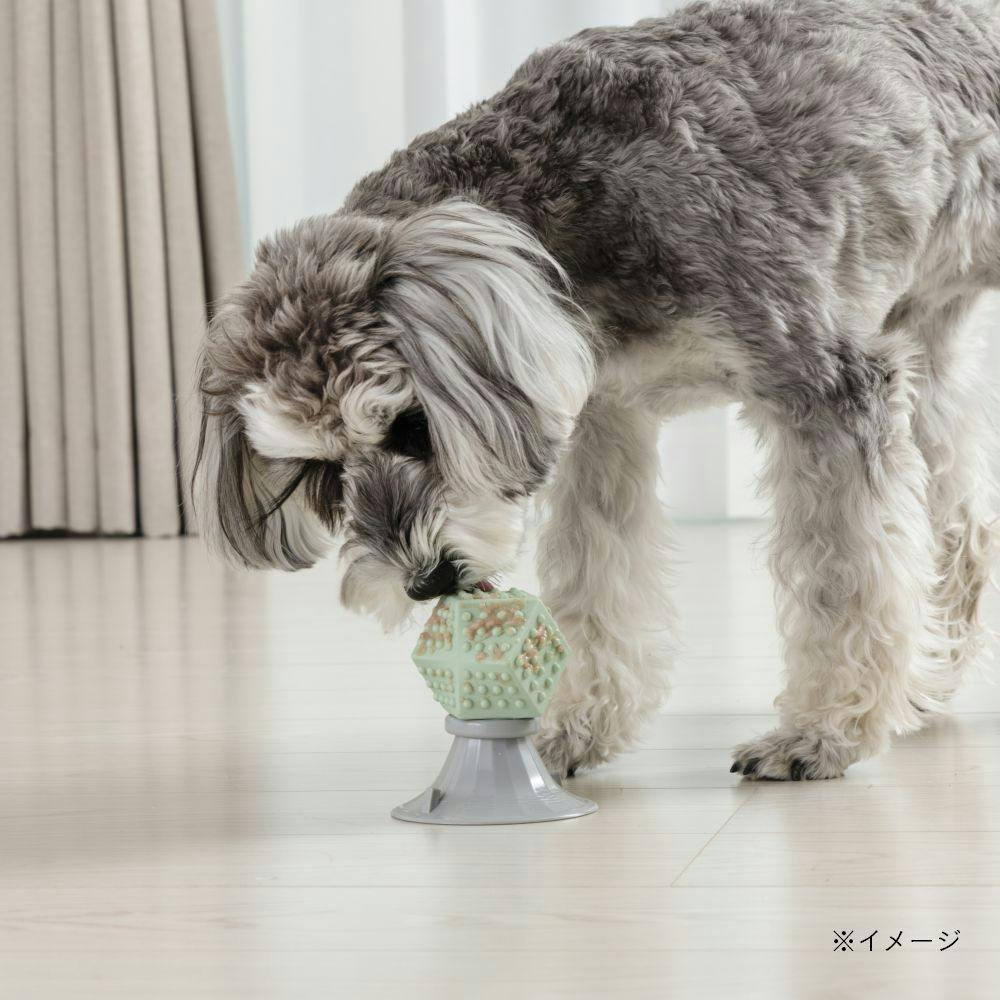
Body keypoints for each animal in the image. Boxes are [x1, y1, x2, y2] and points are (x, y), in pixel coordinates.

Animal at [193, 0, 1000, 781]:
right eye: (325, 474)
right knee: (961, 529)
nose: (424, 582)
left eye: (412, 426)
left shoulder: (826, 392)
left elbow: (845, 581)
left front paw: (823, 733)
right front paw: (571, 730)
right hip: (926, 352)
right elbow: (595, 582)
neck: (572, 198)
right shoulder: (605, 422)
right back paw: (926, 680)